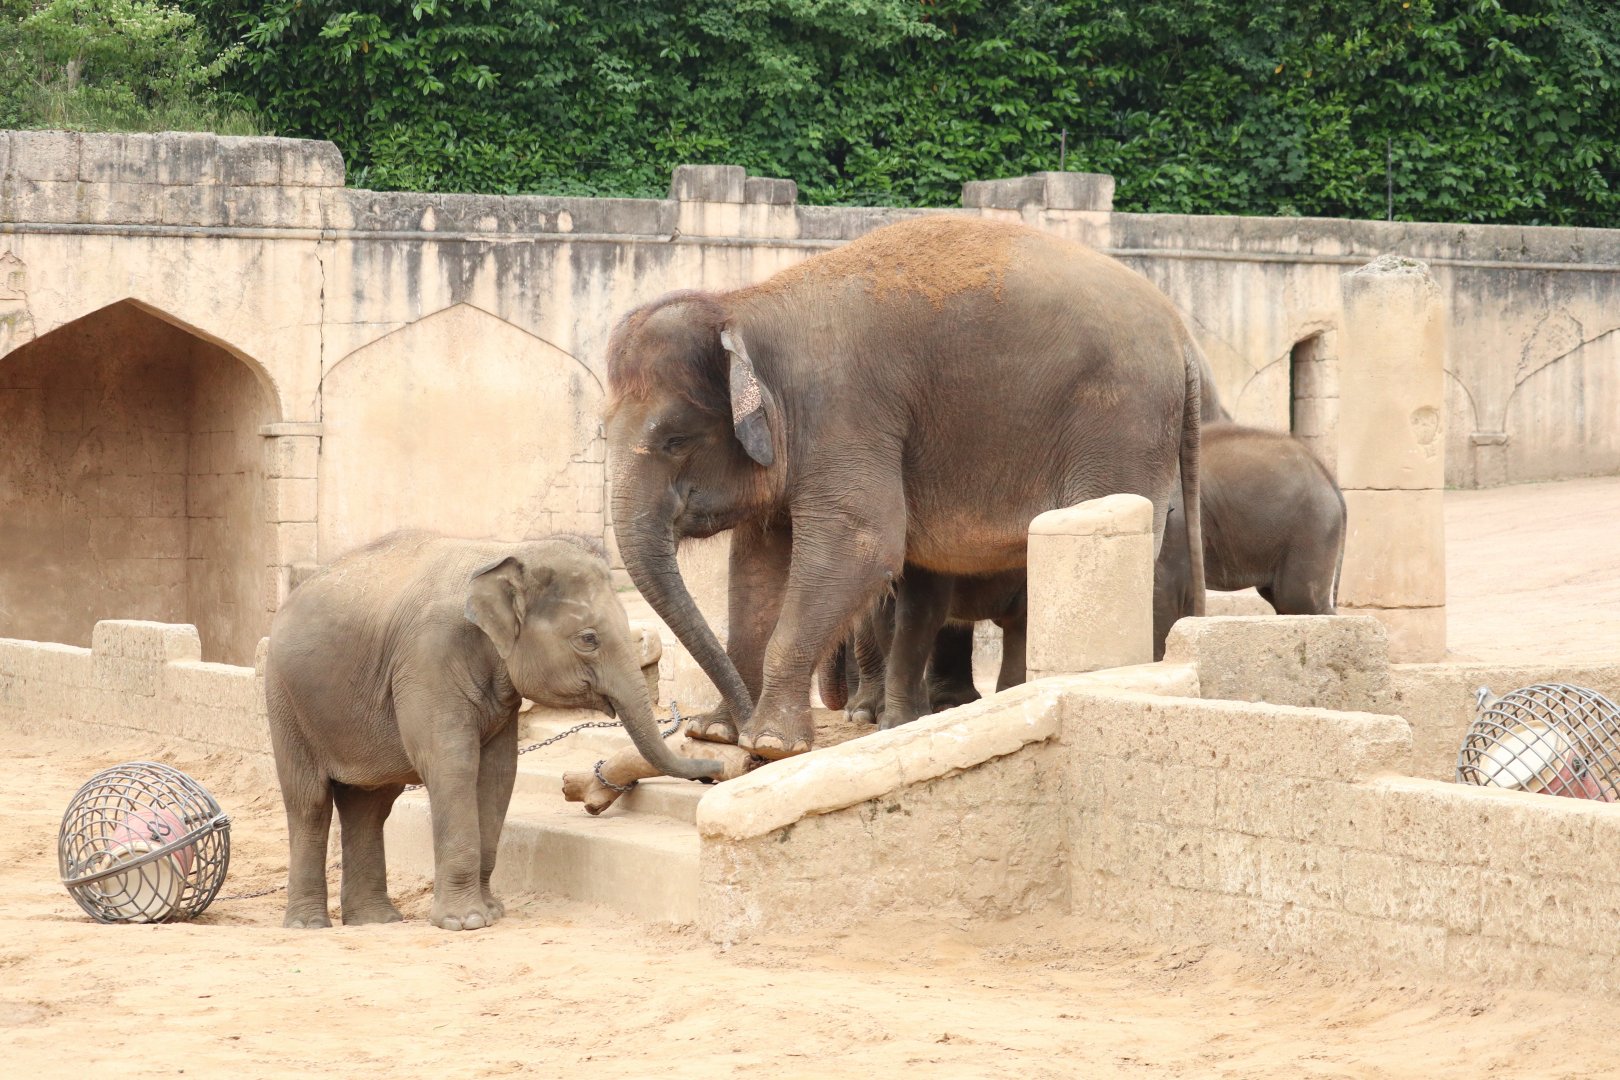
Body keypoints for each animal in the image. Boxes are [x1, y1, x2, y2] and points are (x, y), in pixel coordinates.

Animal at [264, 530, 721, 931]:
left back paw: (378, 921)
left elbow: (499, 774)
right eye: (588, 639)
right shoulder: (427, 659)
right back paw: (309, 925)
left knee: (370, 805)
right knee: (310, 802)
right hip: (284, 700)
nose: (712, 768)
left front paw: (492, 913)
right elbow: (454, 766)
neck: (506, 551)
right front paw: (464, 923)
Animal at [604, 214, 1205, 760]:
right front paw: (720, 733)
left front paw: (771, 744)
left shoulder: (845, 414)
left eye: (675, 440)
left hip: (1121, 423)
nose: (709, 730)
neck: (744, 307)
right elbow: (757, 567)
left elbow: (862, 548)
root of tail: (1182, 334)